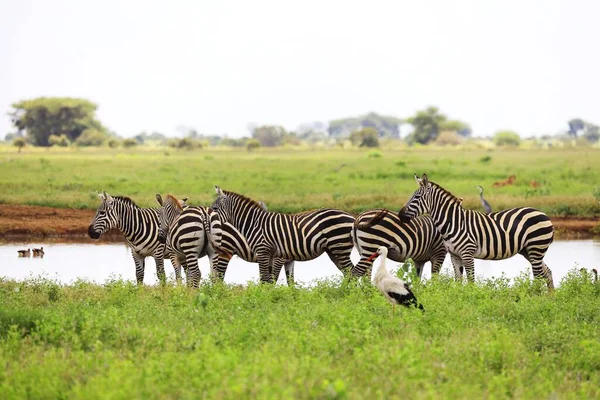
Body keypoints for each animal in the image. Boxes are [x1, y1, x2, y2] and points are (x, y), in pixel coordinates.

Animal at [155, 194, 296, 284]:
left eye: (159, 215)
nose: (160, 238)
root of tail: (204, 215)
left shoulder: (176, 255)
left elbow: (180, 276)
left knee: (210, 275)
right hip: (218, 251)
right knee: (215, 276)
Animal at [210, 186, 356, 282]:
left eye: (215, 208)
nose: (211, 223)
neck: (254, 223)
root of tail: (352, 217)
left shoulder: (265, 252)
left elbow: (267, 279)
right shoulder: (272, 255)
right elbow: (273, 280)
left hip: (339, 247)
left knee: (351, 272)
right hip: (334, 250)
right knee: (349, 272)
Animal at [398, 173, 552, 290]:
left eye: (417, 197)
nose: (400, 215)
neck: (453, 222)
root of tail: (544, 214)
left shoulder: (467, 253)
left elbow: (471, 281)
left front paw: (472, 299)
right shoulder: (454, 255)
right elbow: (458, 281)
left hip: (536, 247)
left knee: (539, 275)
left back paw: (535, 297)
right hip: (528, 251)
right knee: (547, 272)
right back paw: (550, 297)